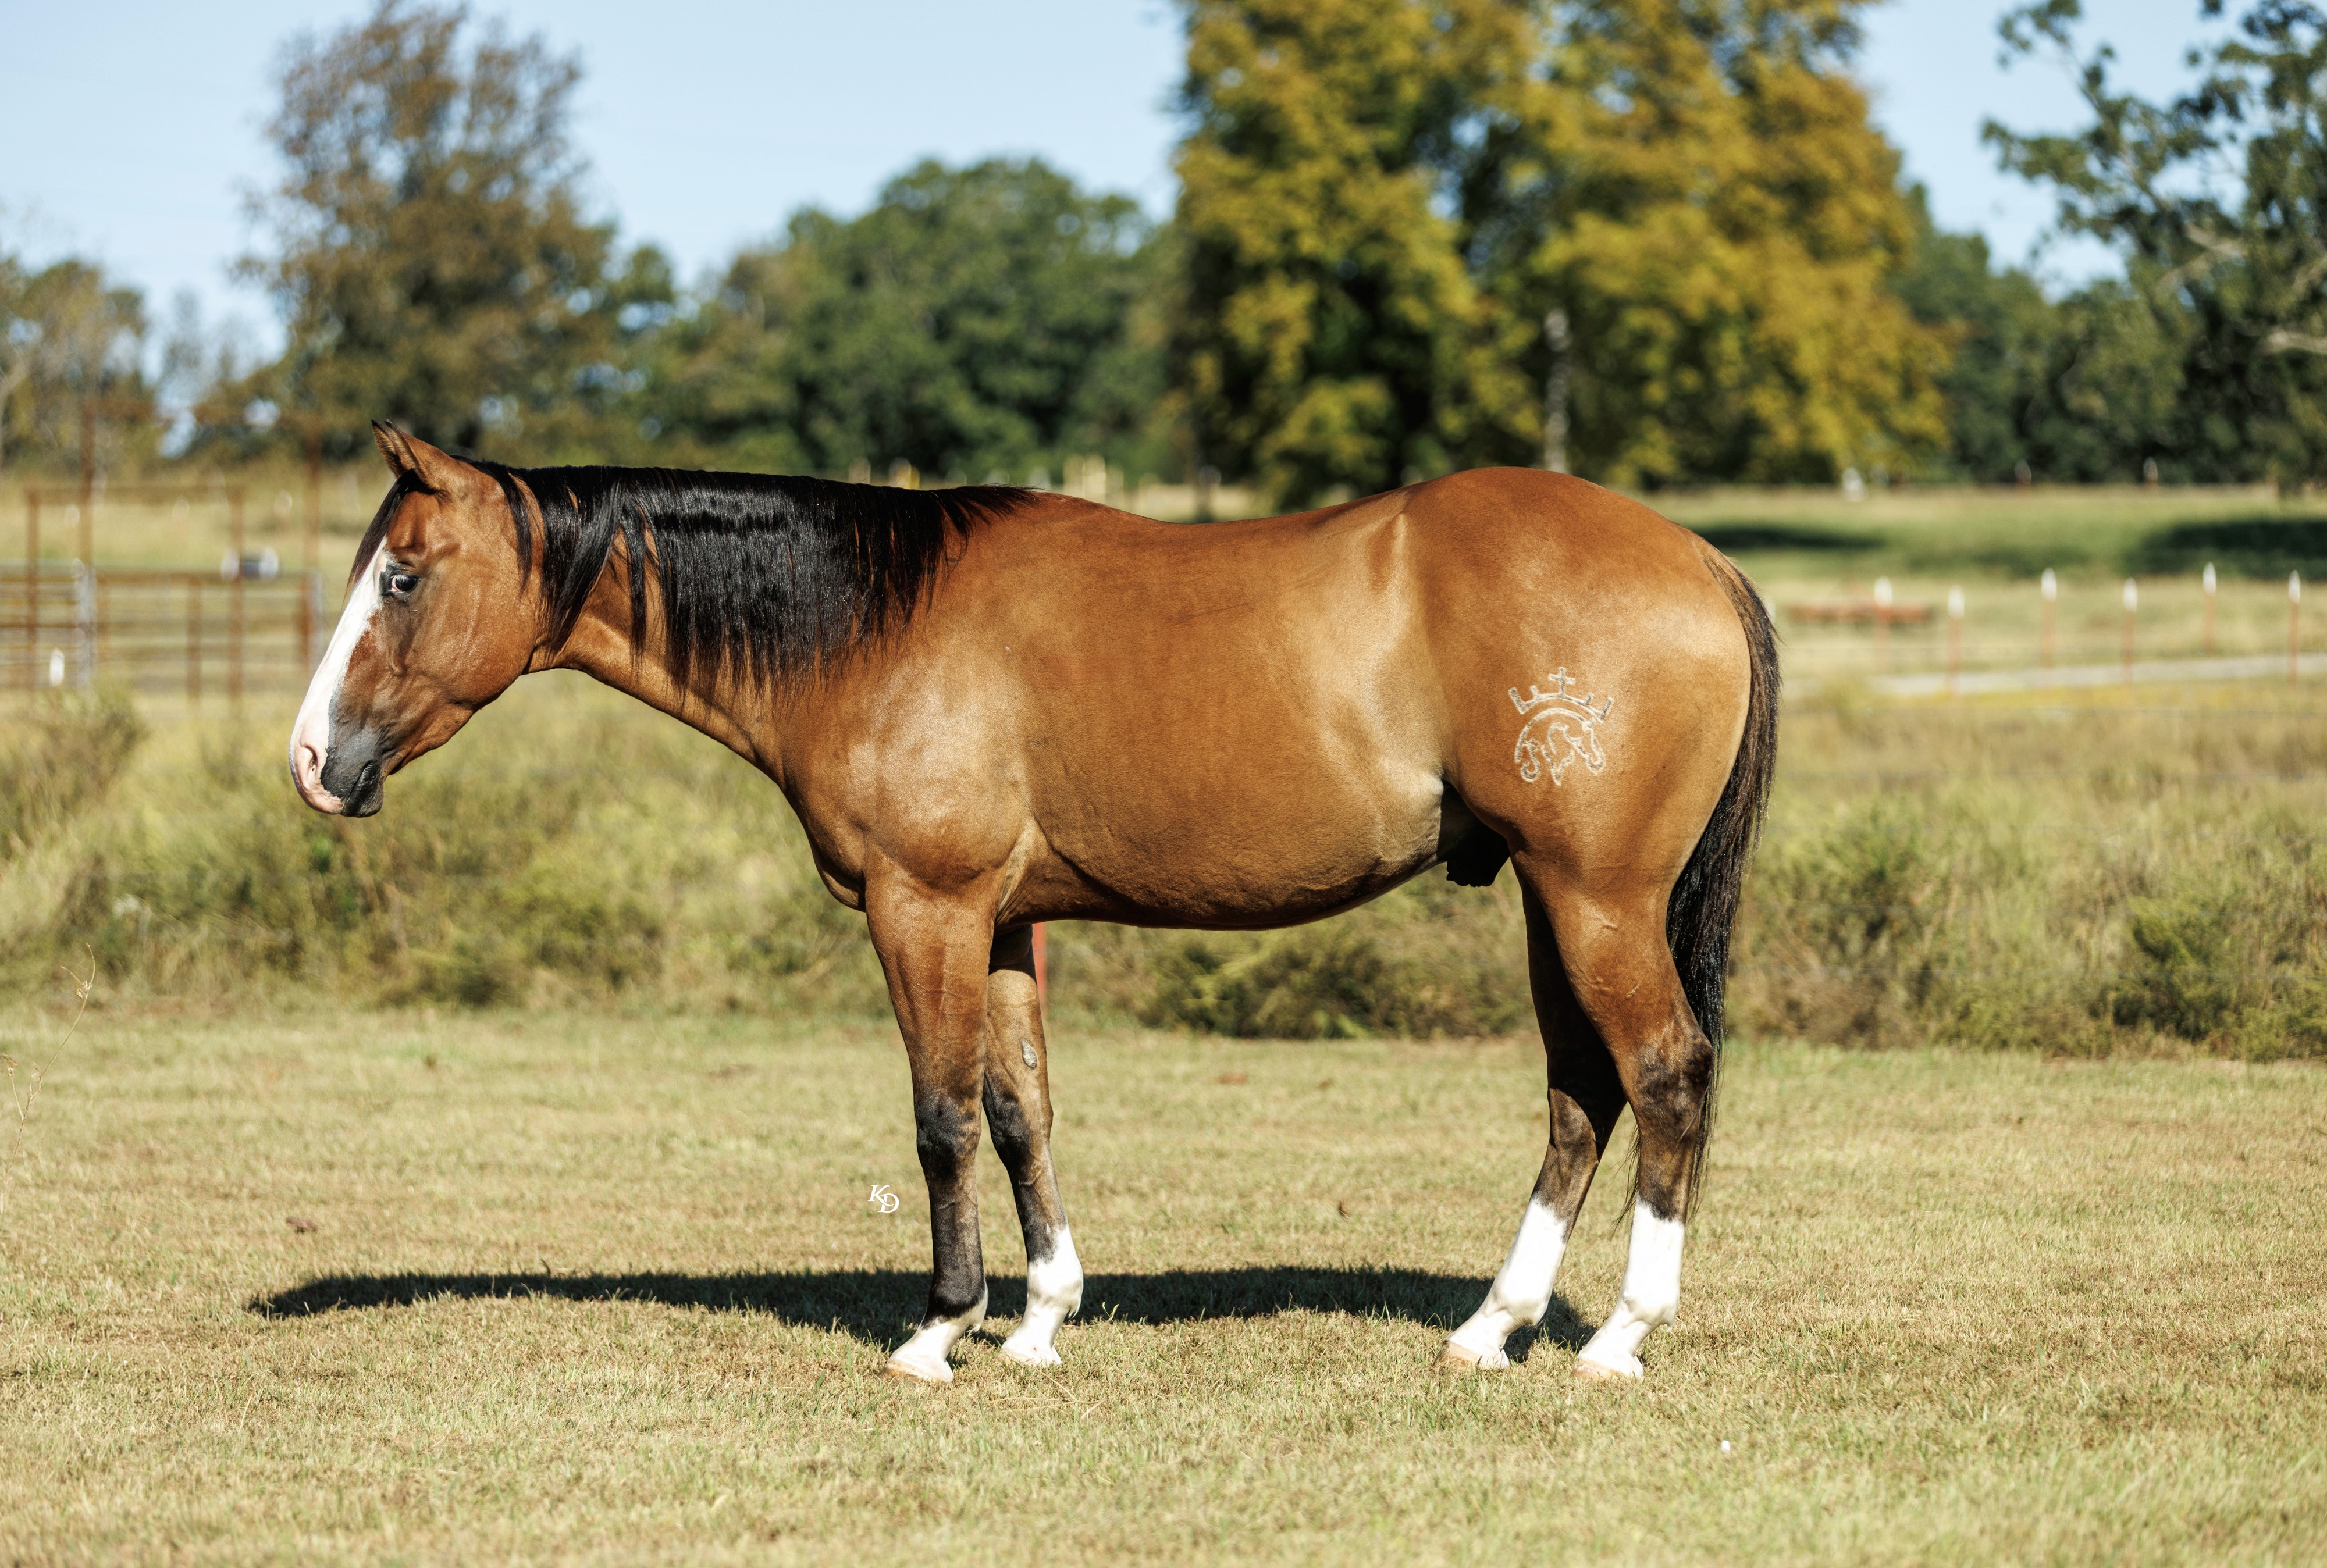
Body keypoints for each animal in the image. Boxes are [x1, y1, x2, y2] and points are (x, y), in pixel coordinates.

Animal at [289, 422, 1778, 1385]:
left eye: (402, 577)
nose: (313, 762)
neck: (875, 624)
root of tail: (1701, 562)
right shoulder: (1004, 924)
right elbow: (1020, 1113)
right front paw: (1042, 1318)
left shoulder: (925, 908)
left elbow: (942, 1116)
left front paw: (939, 1329)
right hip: (1549, 901)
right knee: (1580, 1093)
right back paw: (1489, 1327)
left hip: (1595, 900)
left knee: (1662, 1073)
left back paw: (1618, 1336)